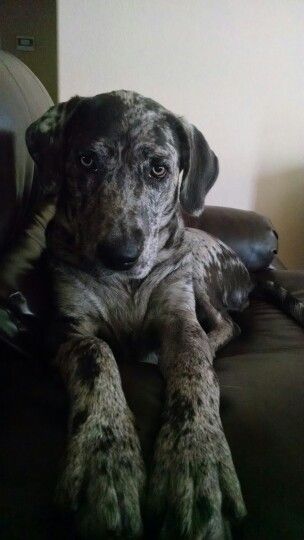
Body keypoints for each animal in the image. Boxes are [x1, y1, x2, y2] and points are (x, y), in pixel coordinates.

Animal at [25, 90, 252, 536]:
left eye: (159, 169)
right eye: (87, 160)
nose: (120, 255)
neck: (126, 286)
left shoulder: (179, 317)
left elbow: (195, 369)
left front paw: (196, 457)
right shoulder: (66, 327)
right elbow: (97, 357)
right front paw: (105, 456)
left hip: (198, 263)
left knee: (226, 323)